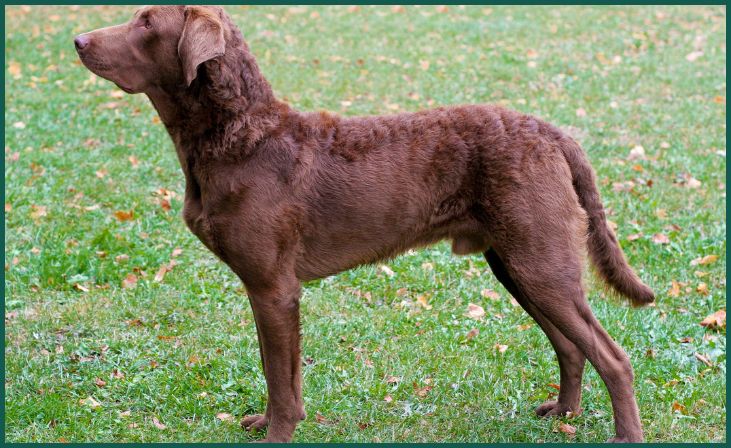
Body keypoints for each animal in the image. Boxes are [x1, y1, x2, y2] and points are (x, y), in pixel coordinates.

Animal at [76, 6, 656, 440]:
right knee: (571, 345)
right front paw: (270, 421)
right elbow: (280, 372)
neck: (240, 137)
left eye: (146, 23)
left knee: (613, 357)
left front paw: (277, 434)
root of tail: (554, 133)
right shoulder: (272, 290)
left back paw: (624, 433)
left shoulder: (272, 286)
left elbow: (278, 376)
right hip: (517, 261)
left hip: (539, 259)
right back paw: (563, 415)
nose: (78, 39)